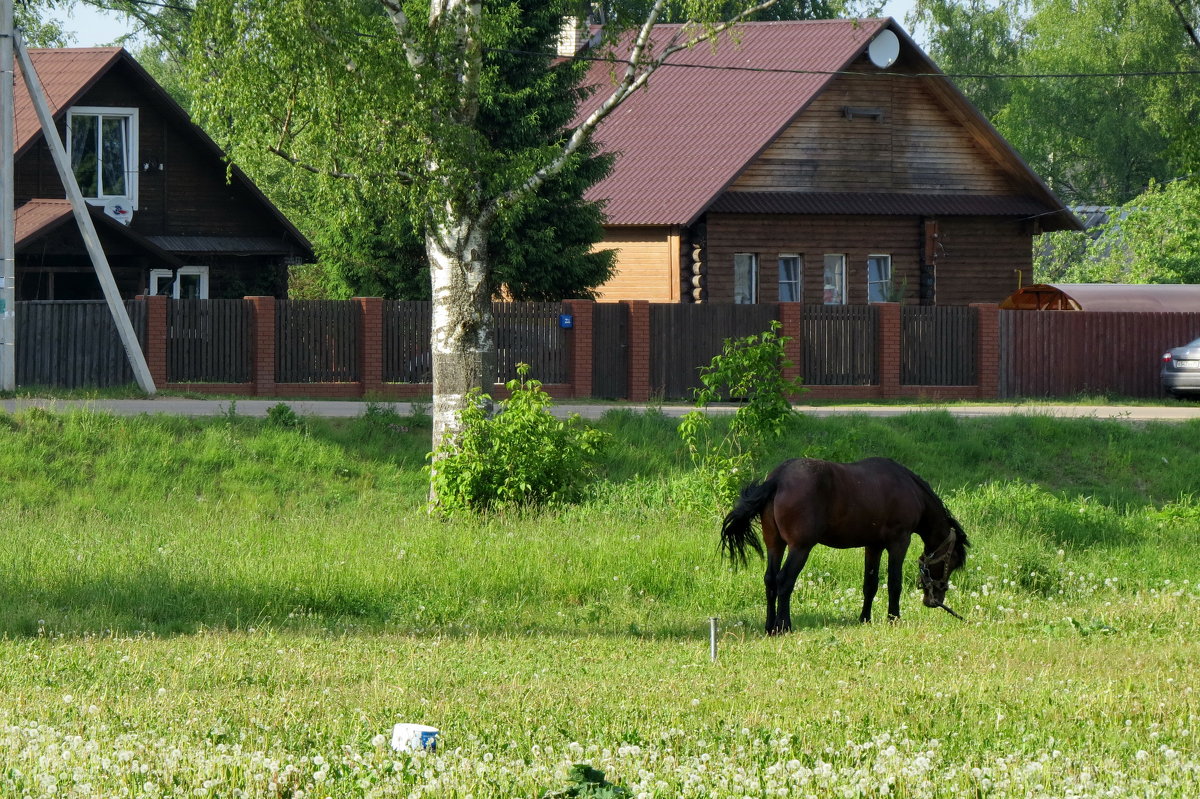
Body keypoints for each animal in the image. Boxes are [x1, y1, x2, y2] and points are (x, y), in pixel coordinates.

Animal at [720, 458, 964, 633]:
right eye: (951, 563)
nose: (935, 600)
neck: (909, 488)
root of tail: (779, 478)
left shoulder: (873, 546)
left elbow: (870, 584)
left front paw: (865, 619)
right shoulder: (899, 542)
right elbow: (895, 583)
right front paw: (893, 618)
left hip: (775, 545)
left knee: (770, 580)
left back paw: (770, 626)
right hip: (800, 548)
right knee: (784, 581)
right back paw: (784, 626)